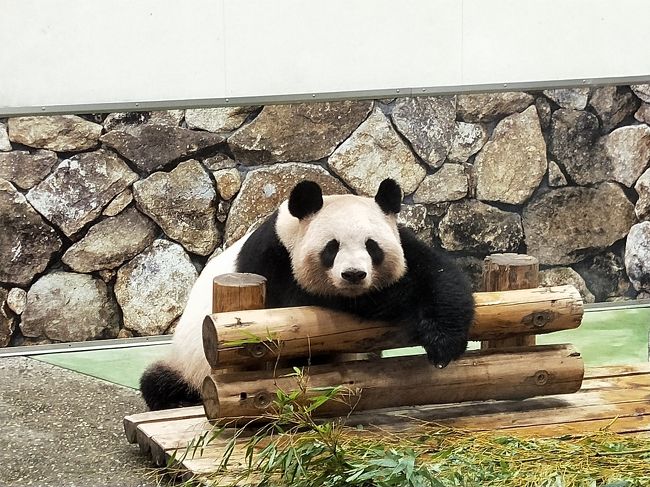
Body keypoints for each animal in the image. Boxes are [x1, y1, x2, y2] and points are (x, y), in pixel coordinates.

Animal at [139, 179, 474, 412]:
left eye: (372, 246)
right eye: (331, 248)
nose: (354, 275)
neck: (291, 228)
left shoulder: (402, 241)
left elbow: (435, 274)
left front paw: (443, 341)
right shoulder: (273, 262)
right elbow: (306, 305)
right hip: (191, 364)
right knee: (159, 383)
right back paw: (179, 400)